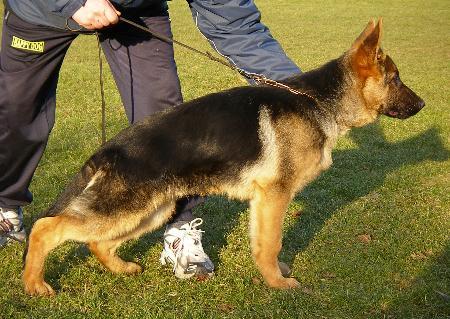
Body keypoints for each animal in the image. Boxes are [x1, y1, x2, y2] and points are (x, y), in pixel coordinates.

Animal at [23, 18, 426, 296]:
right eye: (395, 78)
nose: (423, 104)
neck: (318, 101)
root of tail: (110, 148)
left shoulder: (264, 201)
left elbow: (264, 242)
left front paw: (274, 274)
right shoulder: (274, 196)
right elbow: (271, 242)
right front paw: (278, 284)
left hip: (151, 211)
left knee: (97, 241)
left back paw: (121, 269)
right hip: (125, 209)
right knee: (46, 228)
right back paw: (34, 285)